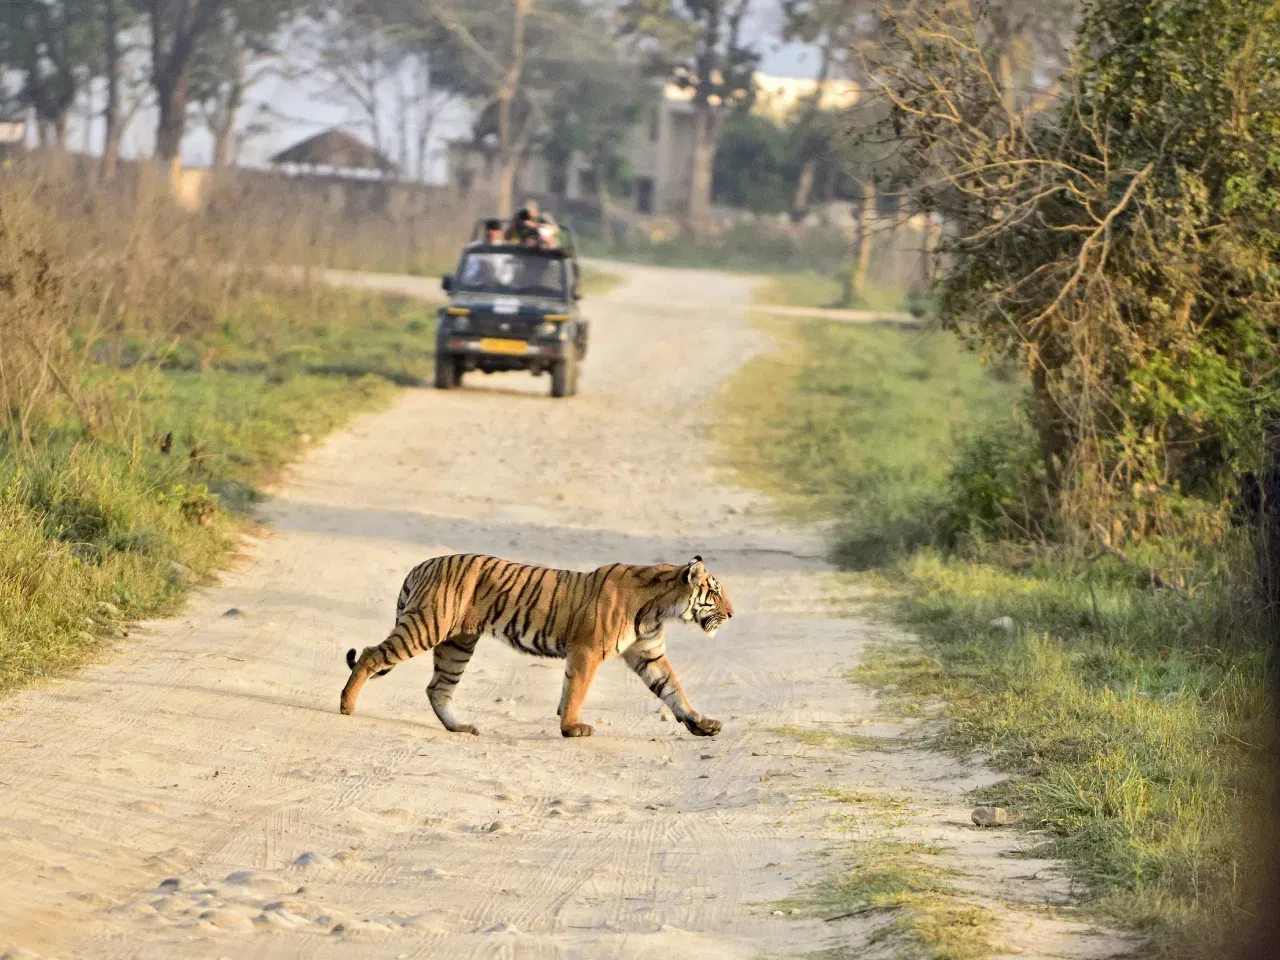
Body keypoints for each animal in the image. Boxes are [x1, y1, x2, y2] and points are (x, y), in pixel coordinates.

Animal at [340, 552, 737, 742]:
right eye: (714, 592)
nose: (732, 614)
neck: (661, 607)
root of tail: (422, 564)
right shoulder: (587, 651)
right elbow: (576, 690)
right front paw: (572, 728)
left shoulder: (648, 653)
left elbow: (674, 691)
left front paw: (702, 725)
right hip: (427, 626)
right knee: (371, 654)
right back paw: (347, 705)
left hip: (457, 643)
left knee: (438, 688)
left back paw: (461, 727)